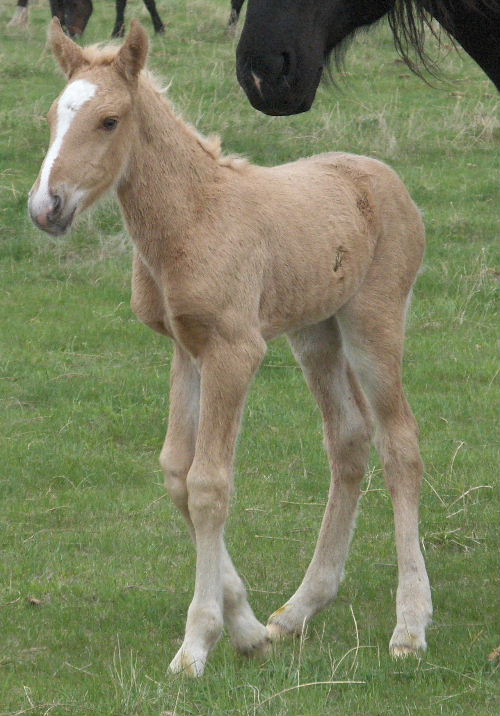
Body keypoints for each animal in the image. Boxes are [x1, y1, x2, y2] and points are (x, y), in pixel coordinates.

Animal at [29, 18, 432, 676]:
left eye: (109, 121)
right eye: (50, 117)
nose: (47, 207)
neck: (192, 217)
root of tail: (388, 178)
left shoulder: (235, 351)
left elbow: (210, 483)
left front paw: (197, 642)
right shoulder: (187, 348)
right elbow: (178, 472)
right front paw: (247, 629)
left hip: (373, 322)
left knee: (401, 446)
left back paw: (410, 625)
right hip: (314, 330)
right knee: (348, 439)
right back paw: (299, 609)